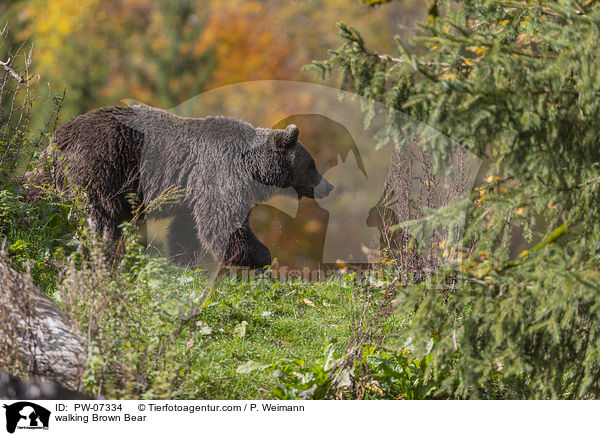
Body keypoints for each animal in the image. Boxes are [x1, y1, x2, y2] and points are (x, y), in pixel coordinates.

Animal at [45, 104, 332, 270]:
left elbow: (188, 228)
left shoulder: (193, 192)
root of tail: (60, 136)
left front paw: (182, 261)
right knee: (101, 217)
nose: (327, 186)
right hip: (102, 166)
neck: (252, 167)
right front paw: (262, 257)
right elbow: (223, 223)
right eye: (312, 164)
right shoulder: (221, 174)